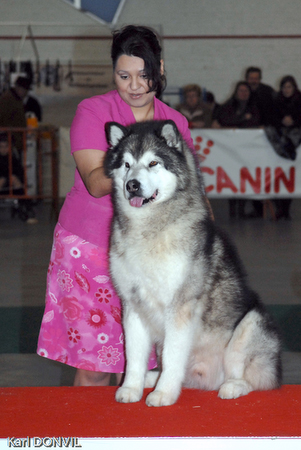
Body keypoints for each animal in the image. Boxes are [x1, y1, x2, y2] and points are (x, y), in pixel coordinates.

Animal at [103, 119, 282, 408]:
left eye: (153, 163)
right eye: (127, 165)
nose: (132, 185)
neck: (149, 230)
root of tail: (210, 381)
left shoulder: (180, 307)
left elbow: (174, 356)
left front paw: (164, 394)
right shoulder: (133, 305)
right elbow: (134, 356)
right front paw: (130, 387)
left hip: (250, 324)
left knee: (250, 378)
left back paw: (233, 386)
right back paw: (152, 378)